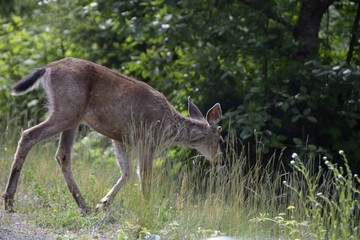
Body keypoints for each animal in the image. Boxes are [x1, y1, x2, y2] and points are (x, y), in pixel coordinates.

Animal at [2, 57, 222, 214]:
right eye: (221, 138)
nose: (220, 160)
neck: (169, 127)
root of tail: (47, 68)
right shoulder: (147, 139)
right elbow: (144, 175)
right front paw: (147, 209)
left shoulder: (119, 138)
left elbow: (127, 172)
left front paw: (103, 203)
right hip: (67, 110)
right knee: (28, 135)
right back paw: (9, 201)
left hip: (72, 116)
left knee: (62, 154)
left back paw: (83, 205)